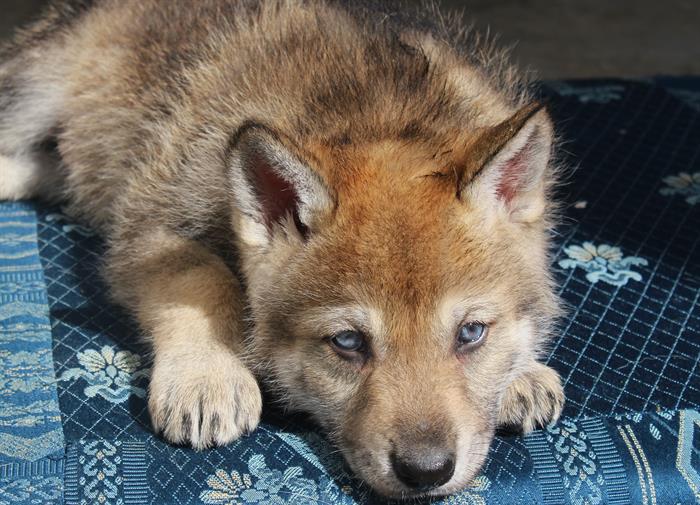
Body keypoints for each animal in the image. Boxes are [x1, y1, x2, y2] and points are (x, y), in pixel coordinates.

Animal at [0, 0, 564, 496]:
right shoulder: (150, 225)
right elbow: (205, 281)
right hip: (34, 94)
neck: (373, 115)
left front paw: (522, 373)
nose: (426, 472)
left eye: (471, 333)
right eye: (347, 342)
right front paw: (208, 375)